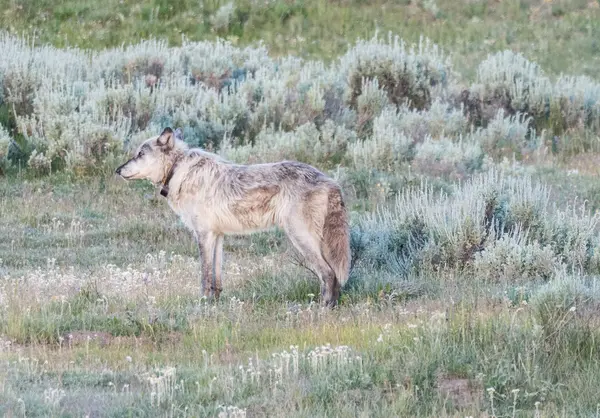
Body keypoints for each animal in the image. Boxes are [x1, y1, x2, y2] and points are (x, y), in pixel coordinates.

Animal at [115, 125, 352, 306]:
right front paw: (215, 304)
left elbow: (204, 277)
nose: (117, 170)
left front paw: (202, 305)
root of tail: (332, 182)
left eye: (139, 154)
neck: (178, 170)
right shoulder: (218, 236)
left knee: (329, 274)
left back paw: (321, 309)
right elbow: (216, 279)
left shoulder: (203, 235)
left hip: (301, 238)